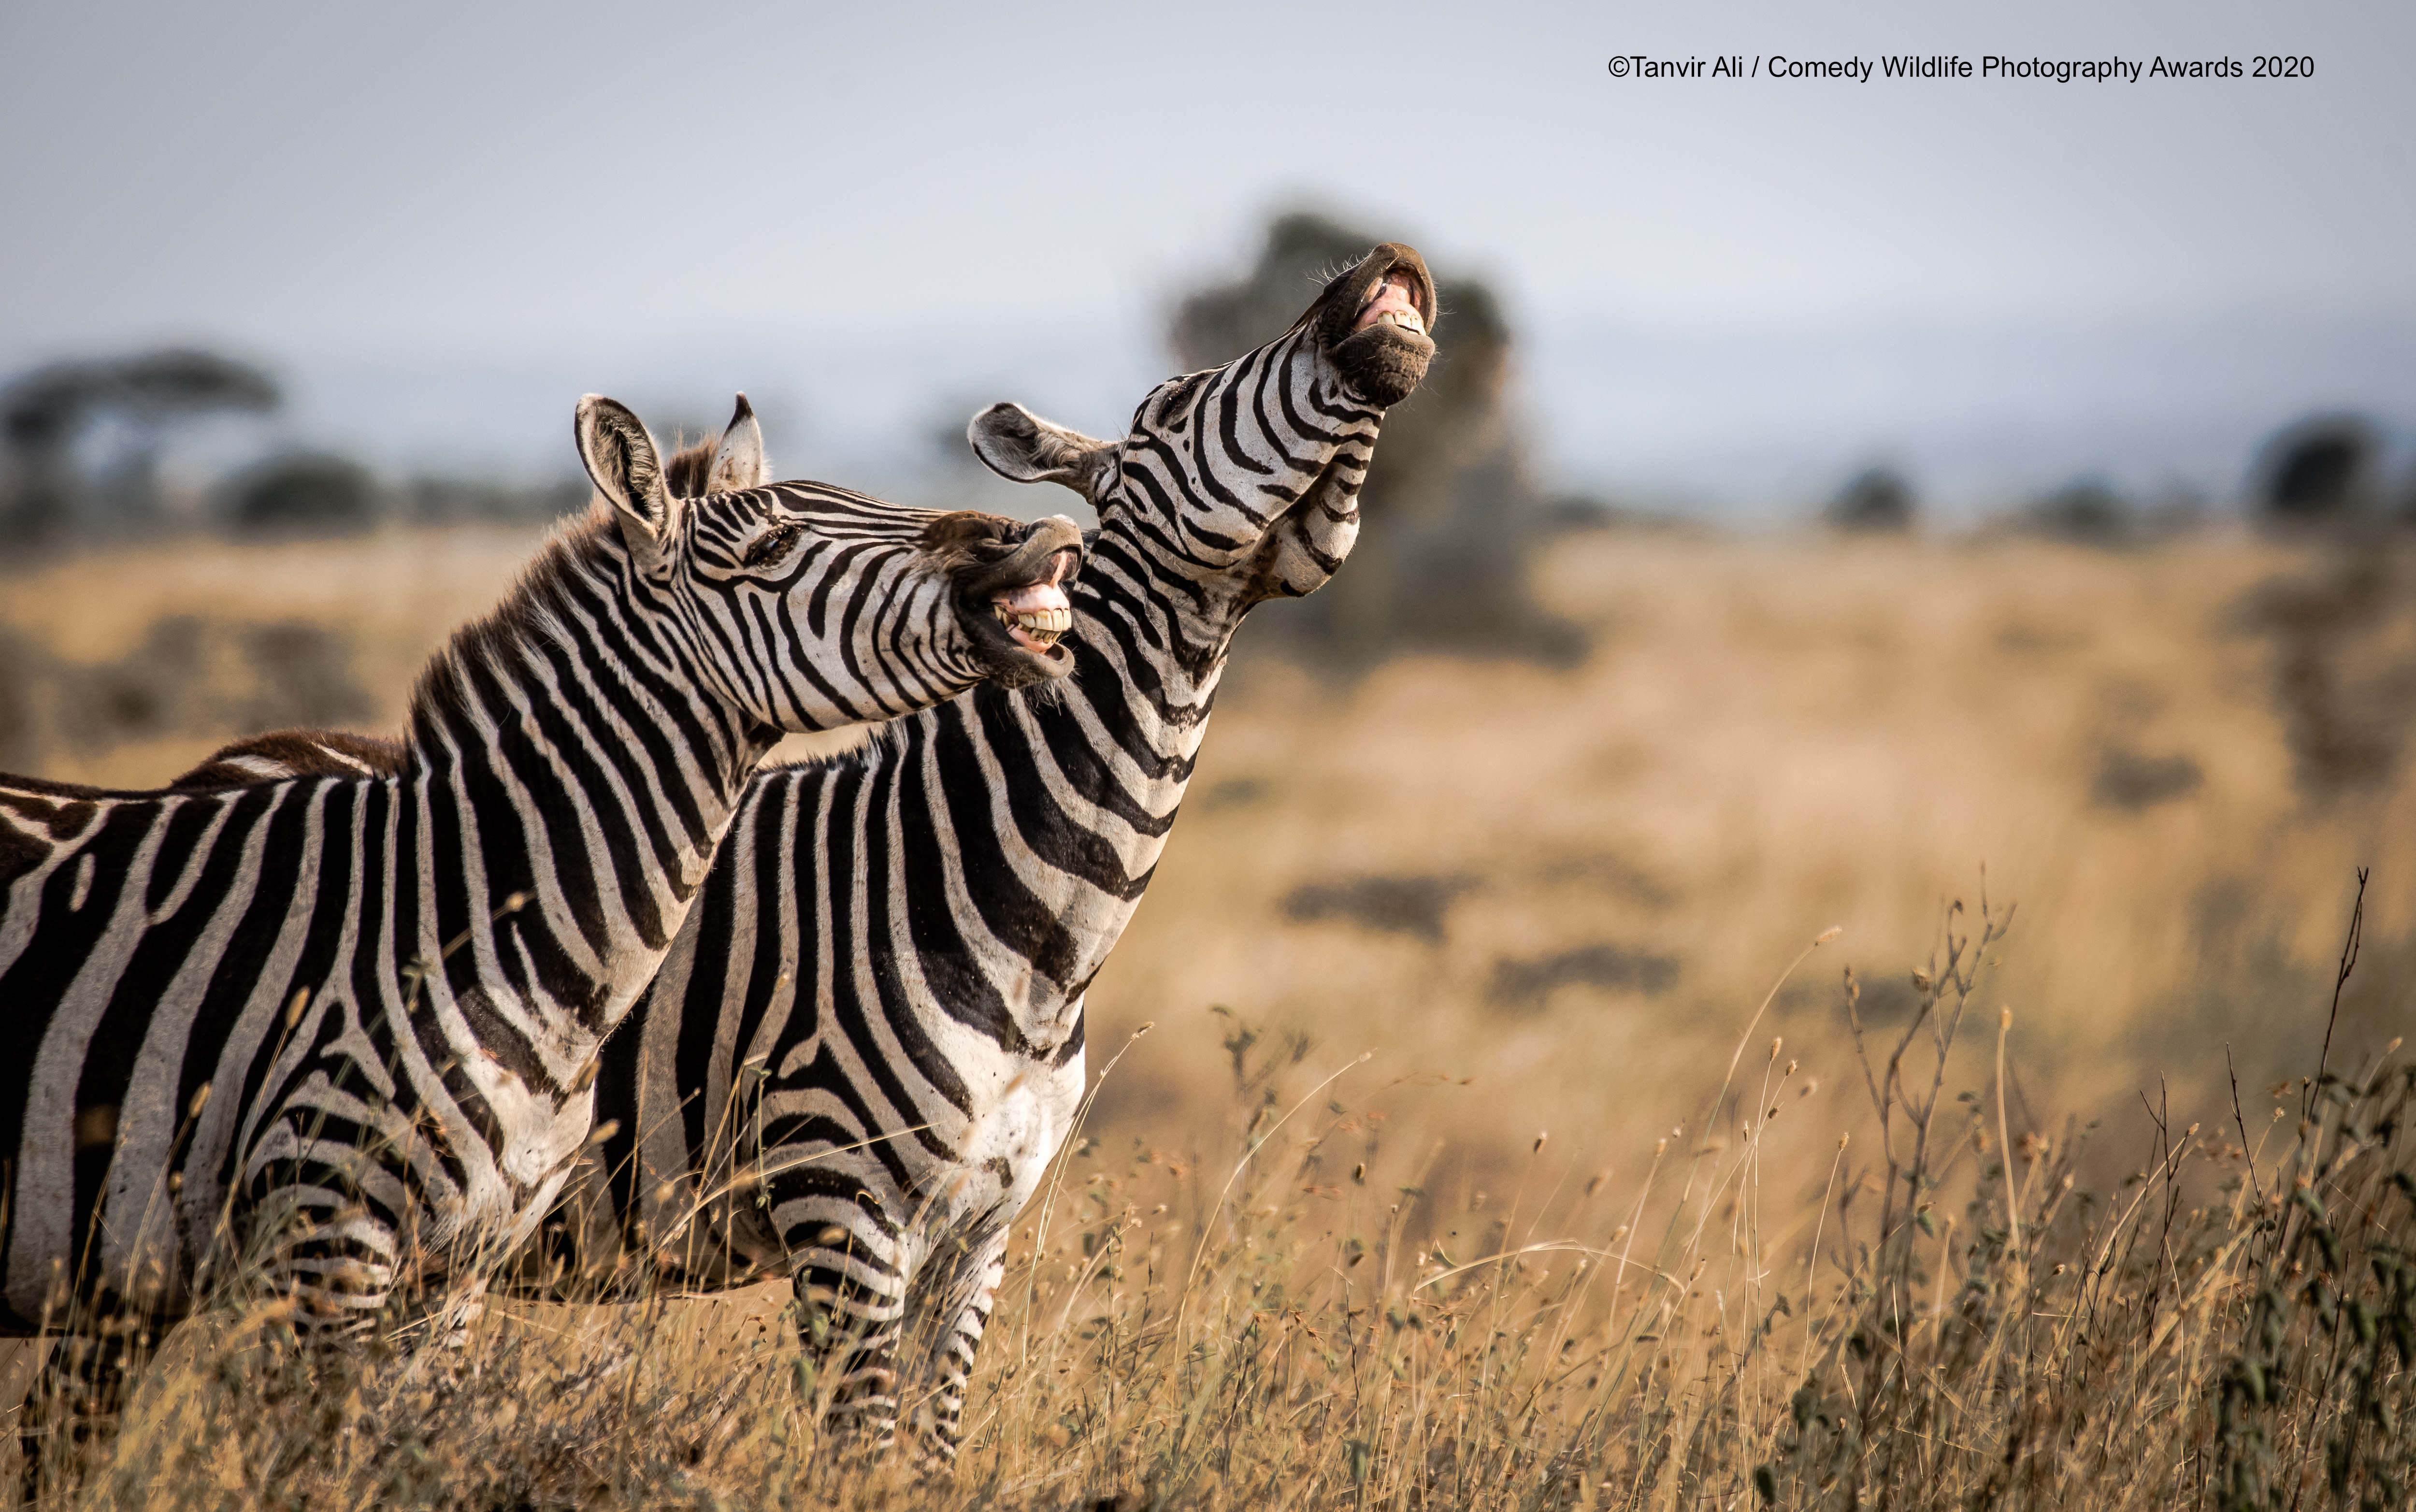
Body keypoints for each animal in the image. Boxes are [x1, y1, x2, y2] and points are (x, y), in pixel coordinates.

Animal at [0, 389, 1078, 1459]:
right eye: (772, 546)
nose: (1033, 536)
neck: (473, 913)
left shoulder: (454, 1262)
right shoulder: (329, 1228)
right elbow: (327, 1464)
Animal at [184, 241, 1450, 1459]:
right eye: (1180, 402)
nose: (1380, 261)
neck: (1023, 912)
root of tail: (231, 760)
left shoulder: (979, 1234)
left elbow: (927, 1454)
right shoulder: (843, 1206)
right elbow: (859, 1446)